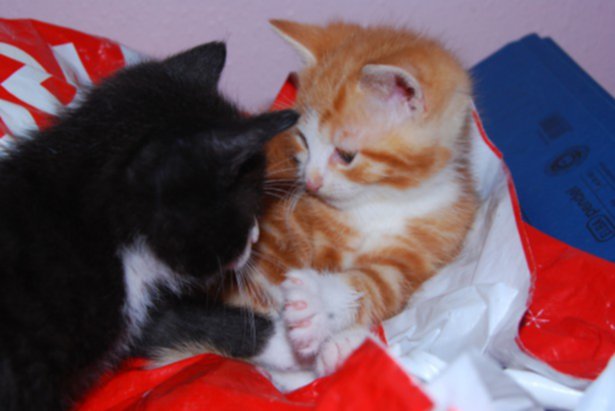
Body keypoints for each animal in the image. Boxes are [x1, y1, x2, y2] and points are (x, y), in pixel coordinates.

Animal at [144, 20, 478, 389]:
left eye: (345, 155)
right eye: (303, 140)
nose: (311, 182)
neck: (379, 201)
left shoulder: (420, 256)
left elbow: (378, 288)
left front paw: (329, 316)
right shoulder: (271, 234)